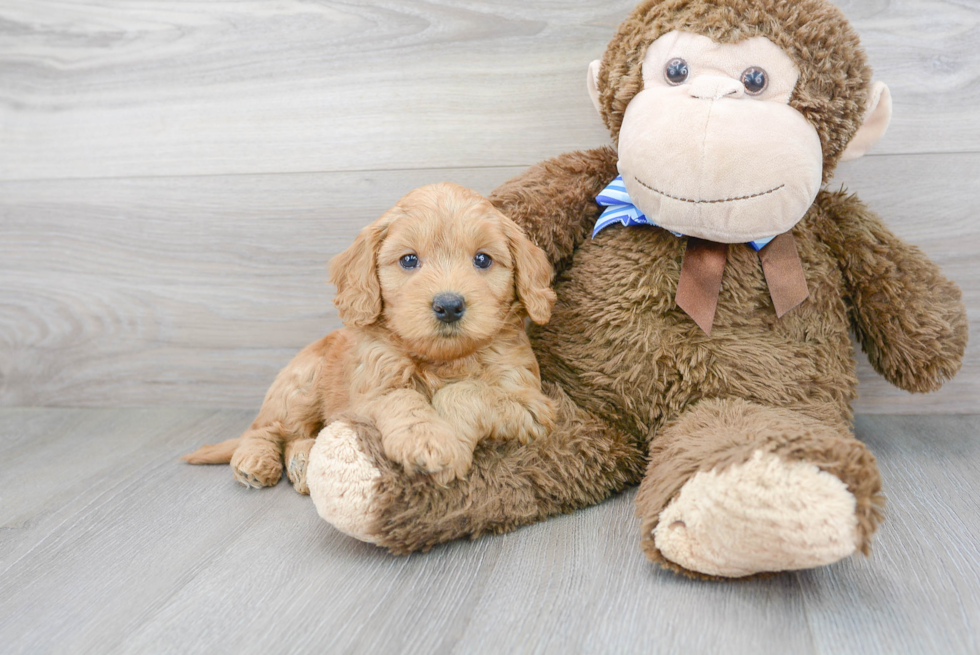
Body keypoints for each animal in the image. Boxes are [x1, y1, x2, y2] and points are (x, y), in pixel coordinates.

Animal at [181, 182, 556, 490]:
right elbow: (402, 400)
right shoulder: (369, 393)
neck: (441, 360)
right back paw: (255, 460)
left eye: (482, 259)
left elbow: (466, 392)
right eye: (409, 260)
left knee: (299, 436)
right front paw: (427, 440)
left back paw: (303, 463)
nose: (449, 305)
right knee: (265, 428)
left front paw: (452, 444)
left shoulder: (531, 402)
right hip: (300, 385)